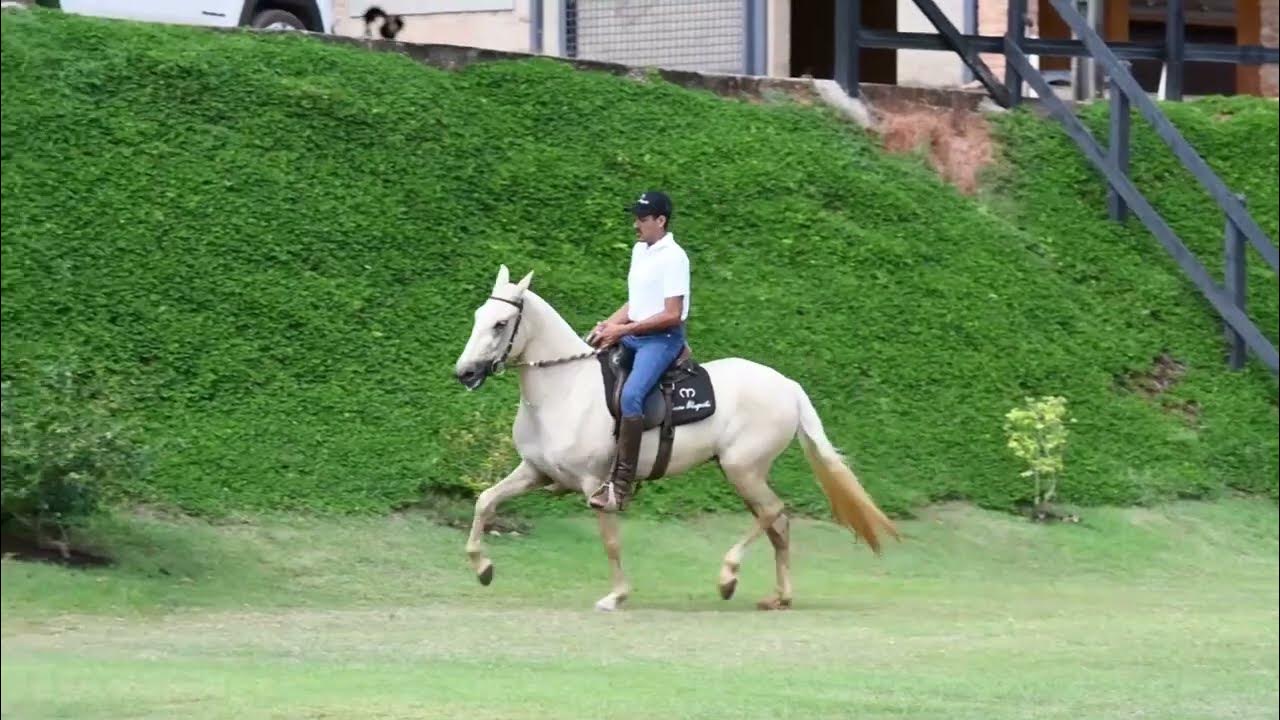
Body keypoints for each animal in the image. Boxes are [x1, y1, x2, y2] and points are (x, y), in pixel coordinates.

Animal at [455, 266, 896, 607]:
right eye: (477, 316)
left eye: (500, 323)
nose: (464, 373)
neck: (565, 388)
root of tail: (788, 385)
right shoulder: (535, 471)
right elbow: (486, 501)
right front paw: (483, 568)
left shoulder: (595, 484)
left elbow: (611, 542)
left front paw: (616, 596)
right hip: (744, 473)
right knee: (779, 524)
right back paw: (779, 597)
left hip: (742, 469)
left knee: (773, 513)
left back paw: (728, 577)